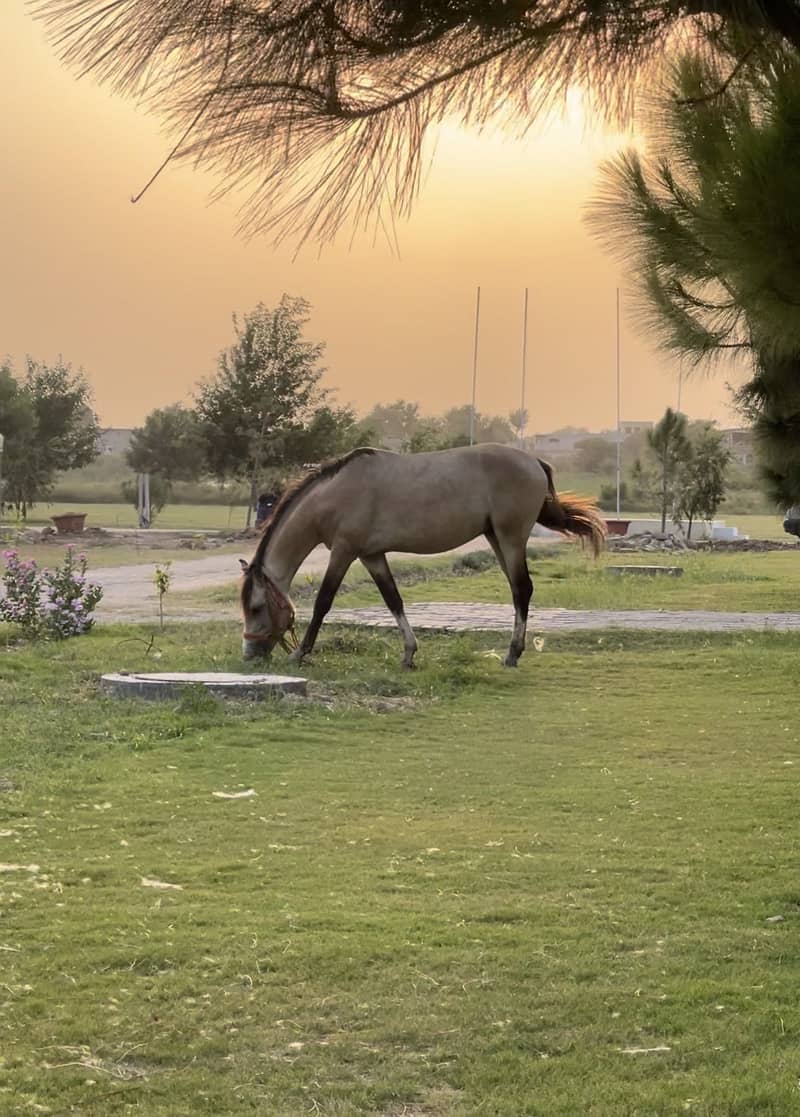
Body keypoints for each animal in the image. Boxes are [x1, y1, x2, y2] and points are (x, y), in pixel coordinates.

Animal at [239, 444, 606, 668]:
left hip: (511, 538)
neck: (335, 494)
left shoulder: (344, 551)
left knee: (521, 589)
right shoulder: (372, 555)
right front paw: (409, 654)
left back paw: (512, 654)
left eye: (256, 608)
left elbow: (322, 603)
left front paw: (300, 653)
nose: (249, 654)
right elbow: (394, 600)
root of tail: (535, 462)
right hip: (496, 538)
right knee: (519, 590)